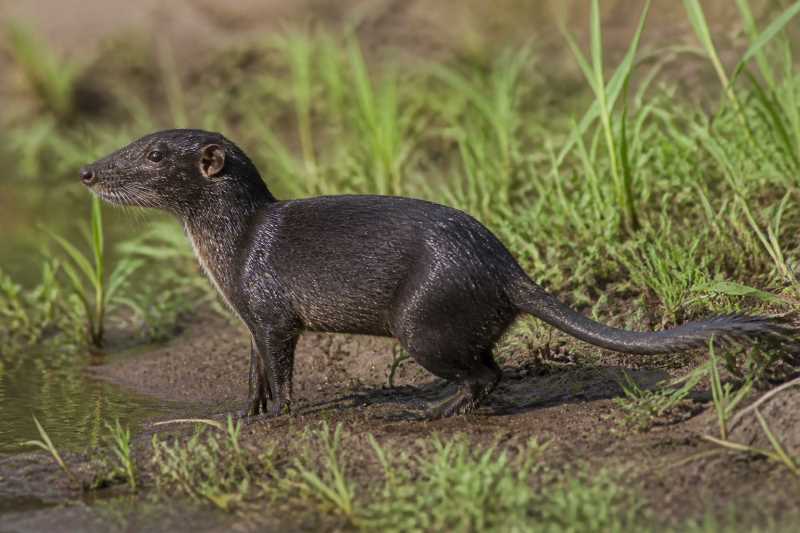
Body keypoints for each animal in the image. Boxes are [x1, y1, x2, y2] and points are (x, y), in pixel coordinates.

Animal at [80, 129, 794, 418]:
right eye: (137, 141)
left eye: (152, 154)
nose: (87, 170)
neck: (233, 253)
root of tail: (503, 264)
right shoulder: (250, 316)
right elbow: (252, 373)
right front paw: (242, 415)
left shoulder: (272, 310)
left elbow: (281, 372)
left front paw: (280, 416)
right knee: (492, 368)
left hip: (423, 321)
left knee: (482, 374)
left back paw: (422, 410)